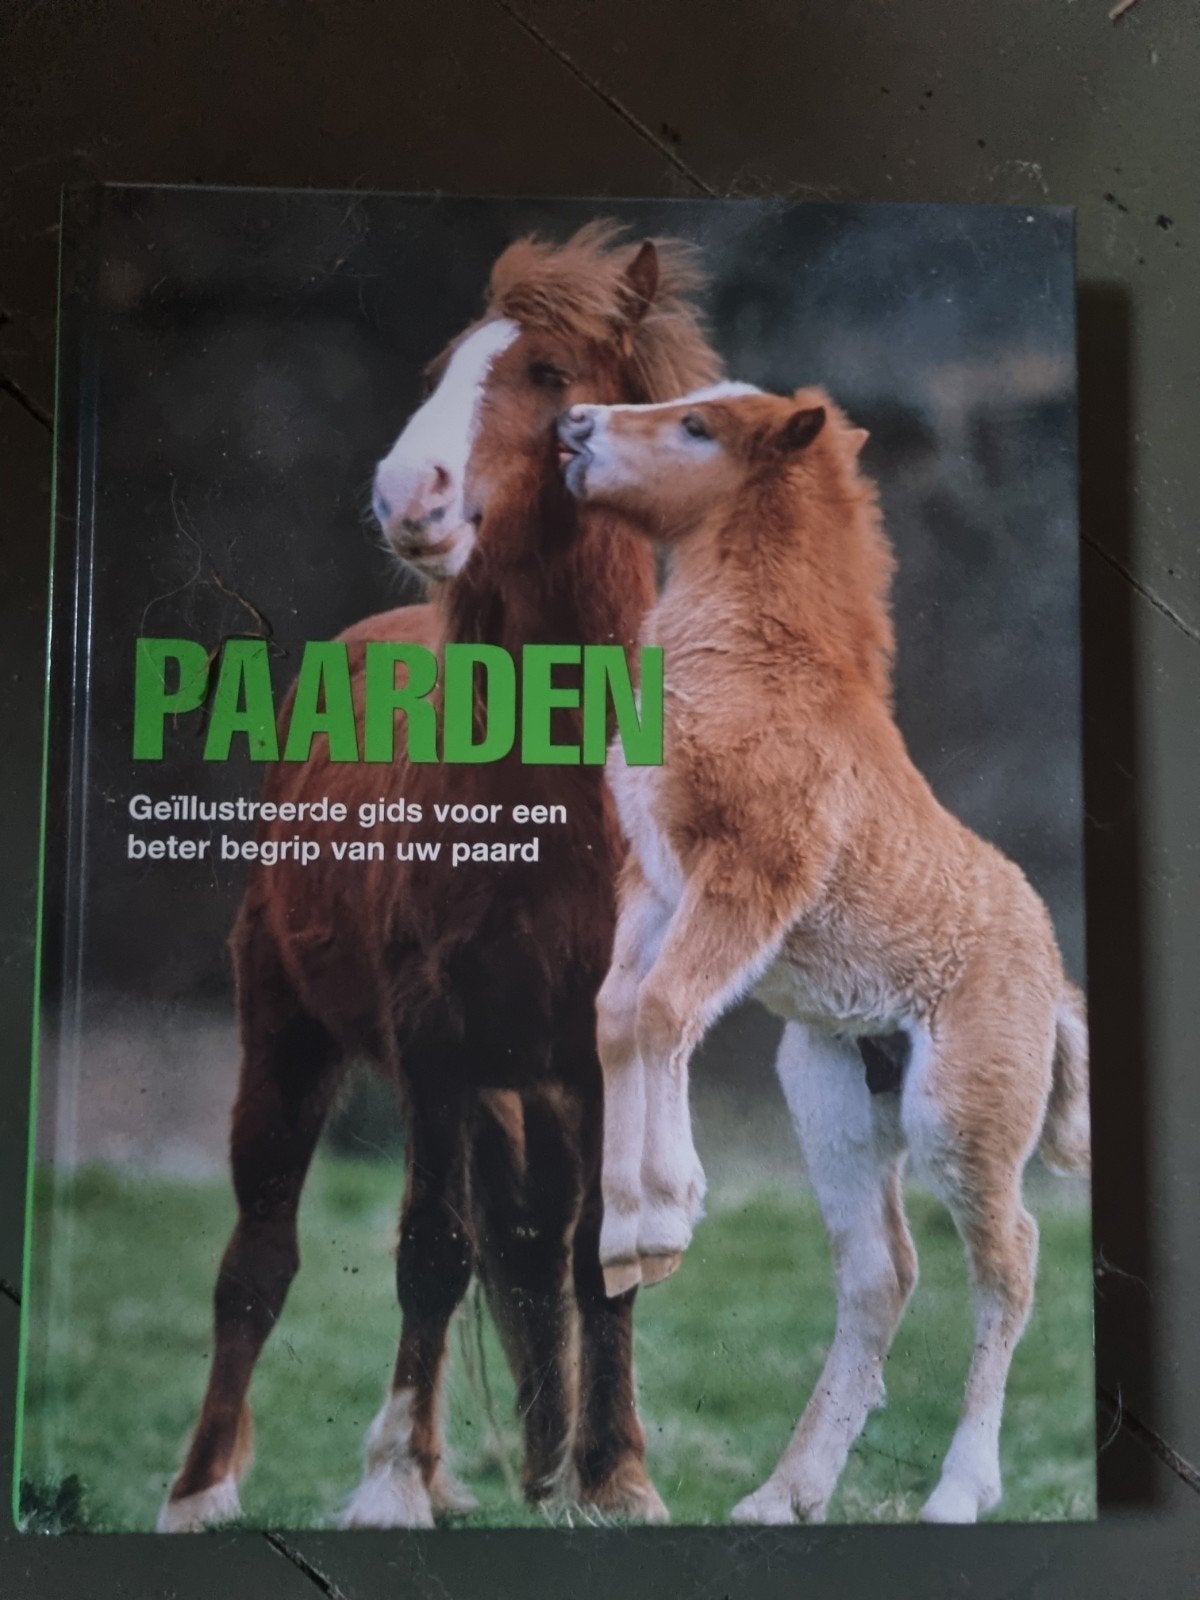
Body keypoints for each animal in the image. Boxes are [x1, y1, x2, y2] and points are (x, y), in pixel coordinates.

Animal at [158, 223, 720, 1532]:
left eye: (552, 373)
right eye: (446, 367)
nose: (405, 496)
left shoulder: (598, 1054)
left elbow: (597, 1261)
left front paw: (615, 1480)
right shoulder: (433, 1042)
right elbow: (429, 1249)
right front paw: (388, 1485)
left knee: (534, 1242)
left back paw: (532, 1461)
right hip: (289, 1037)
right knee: (258, 1259)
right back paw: (201, 1490)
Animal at [557, 383, 1090, 1524]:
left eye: (699, 429)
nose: (574, 425)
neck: (756, 665)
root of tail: (1052, 973)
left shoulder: (753, 873)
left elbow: (665, 1009)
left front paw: (667, 1219)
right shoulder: (654, 884)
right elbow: (618, 1016)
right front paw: (623, 1235)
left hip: (958, 1114)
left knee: (1011, 1260)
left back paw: (958, 1489)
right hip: (831, 1095)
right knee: (883, 1271)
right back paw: (783, 1493)